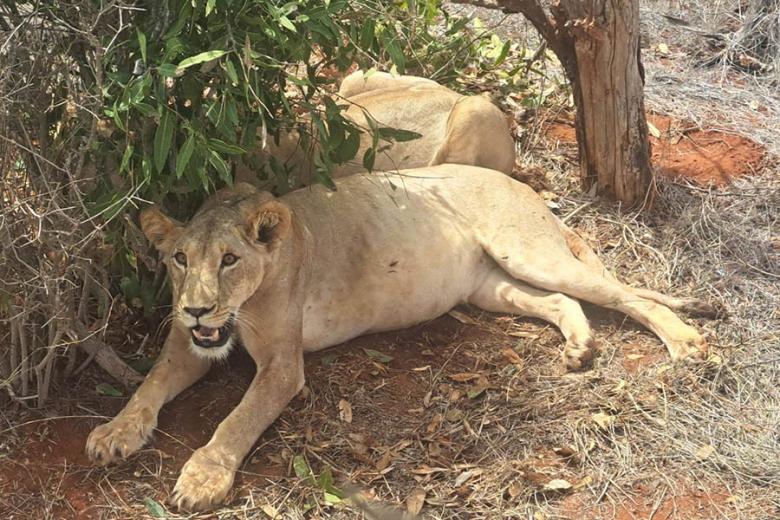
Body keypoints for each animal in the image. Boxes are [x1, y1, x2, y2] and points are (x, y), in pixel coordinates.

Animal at [86, 165, 716, 510]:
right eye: (179, 260)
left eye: (230, 259)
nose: (196, 309)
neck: (240, 308)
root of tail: (522, 184)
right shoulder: (190, 345)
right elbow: (149, 385)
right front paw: (115, 433)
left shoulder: (284, 367)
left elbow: (236, 420)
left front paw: (202, 478)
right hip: (490, 284)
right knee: (562, 302)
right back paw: (580, 348)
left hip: (528, 250)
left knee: (622, 294)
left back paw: (686, 343)